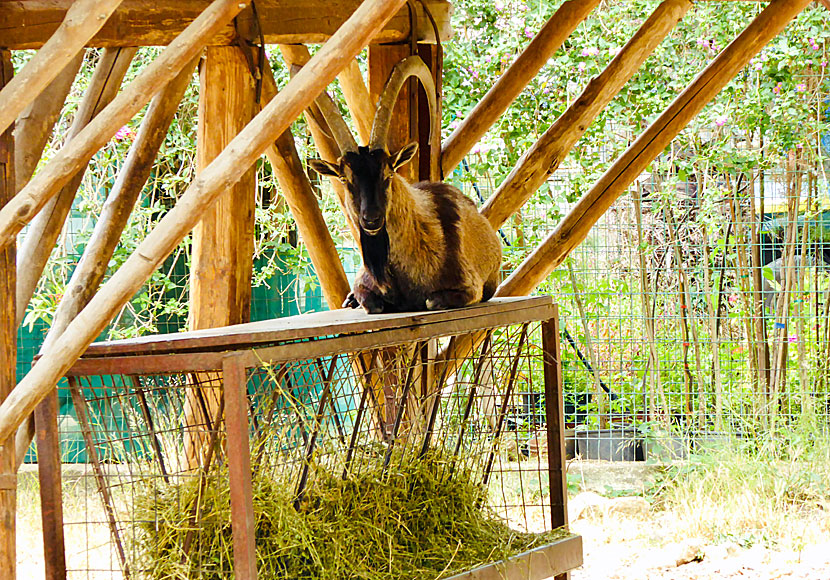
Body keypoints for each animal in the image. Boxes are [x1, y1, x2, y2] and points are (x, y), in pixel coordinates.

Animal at [308, 56, 498, 314]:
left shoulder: (470, 287)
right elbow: (373, 304)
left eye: (388, 173)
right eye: (345, 178)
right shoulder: (364, 283)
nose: (371, 219)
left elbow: (430, 300)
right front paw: (362, 300)